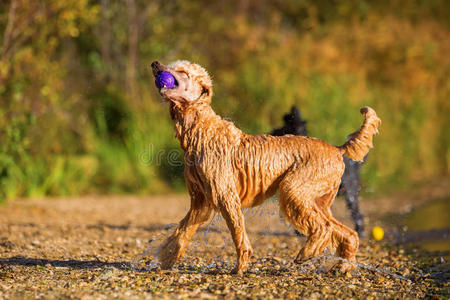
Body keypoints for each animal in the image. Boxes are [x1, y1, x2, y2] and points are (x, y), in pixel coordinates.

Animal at [272, 106, 368, 237]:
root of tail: (354, 164)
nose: (271, 131)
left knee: (357, 213)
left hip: (350, 191)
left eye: (283, 127)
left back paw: (360, 231)